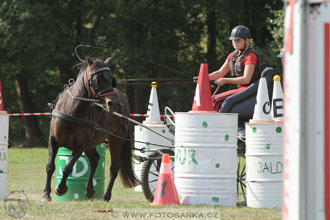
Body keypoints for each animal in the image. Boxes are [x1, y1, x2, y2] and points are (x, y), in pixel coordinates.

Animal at [42, 56, 139, 201]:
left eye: (111, 79)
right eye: (97, 79)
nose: (112, 103)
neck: (73, 111)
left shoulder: (80, 146)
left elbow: (68, 167)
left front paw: (61, 188)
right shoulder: (53, 140)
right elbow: (50, 166)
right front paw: (46, 193)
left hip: (116, 139)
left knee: (114, 167)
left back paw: (106, 196)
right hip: (92, 144)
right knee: (95, 159)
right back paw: (89, 190)